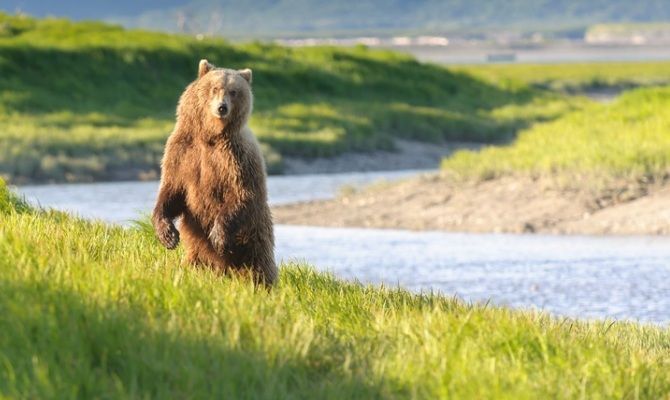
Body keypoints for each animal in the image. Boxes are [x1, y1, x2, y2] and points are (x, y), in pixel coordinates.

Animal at [153, 58, 278, 284]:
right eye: (215, 88)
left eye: (234, 91)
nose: (222, 107)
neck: (211, 136)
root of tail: (224, 270)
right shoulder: (183, 151)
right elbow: (172, 189)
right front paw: (168, 234)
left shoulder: (236, 158)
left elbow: (241, 192)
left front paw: (219, 236)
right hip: (198, 251)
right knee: (193, 263)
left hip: (255, 237)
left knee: (259, 267)